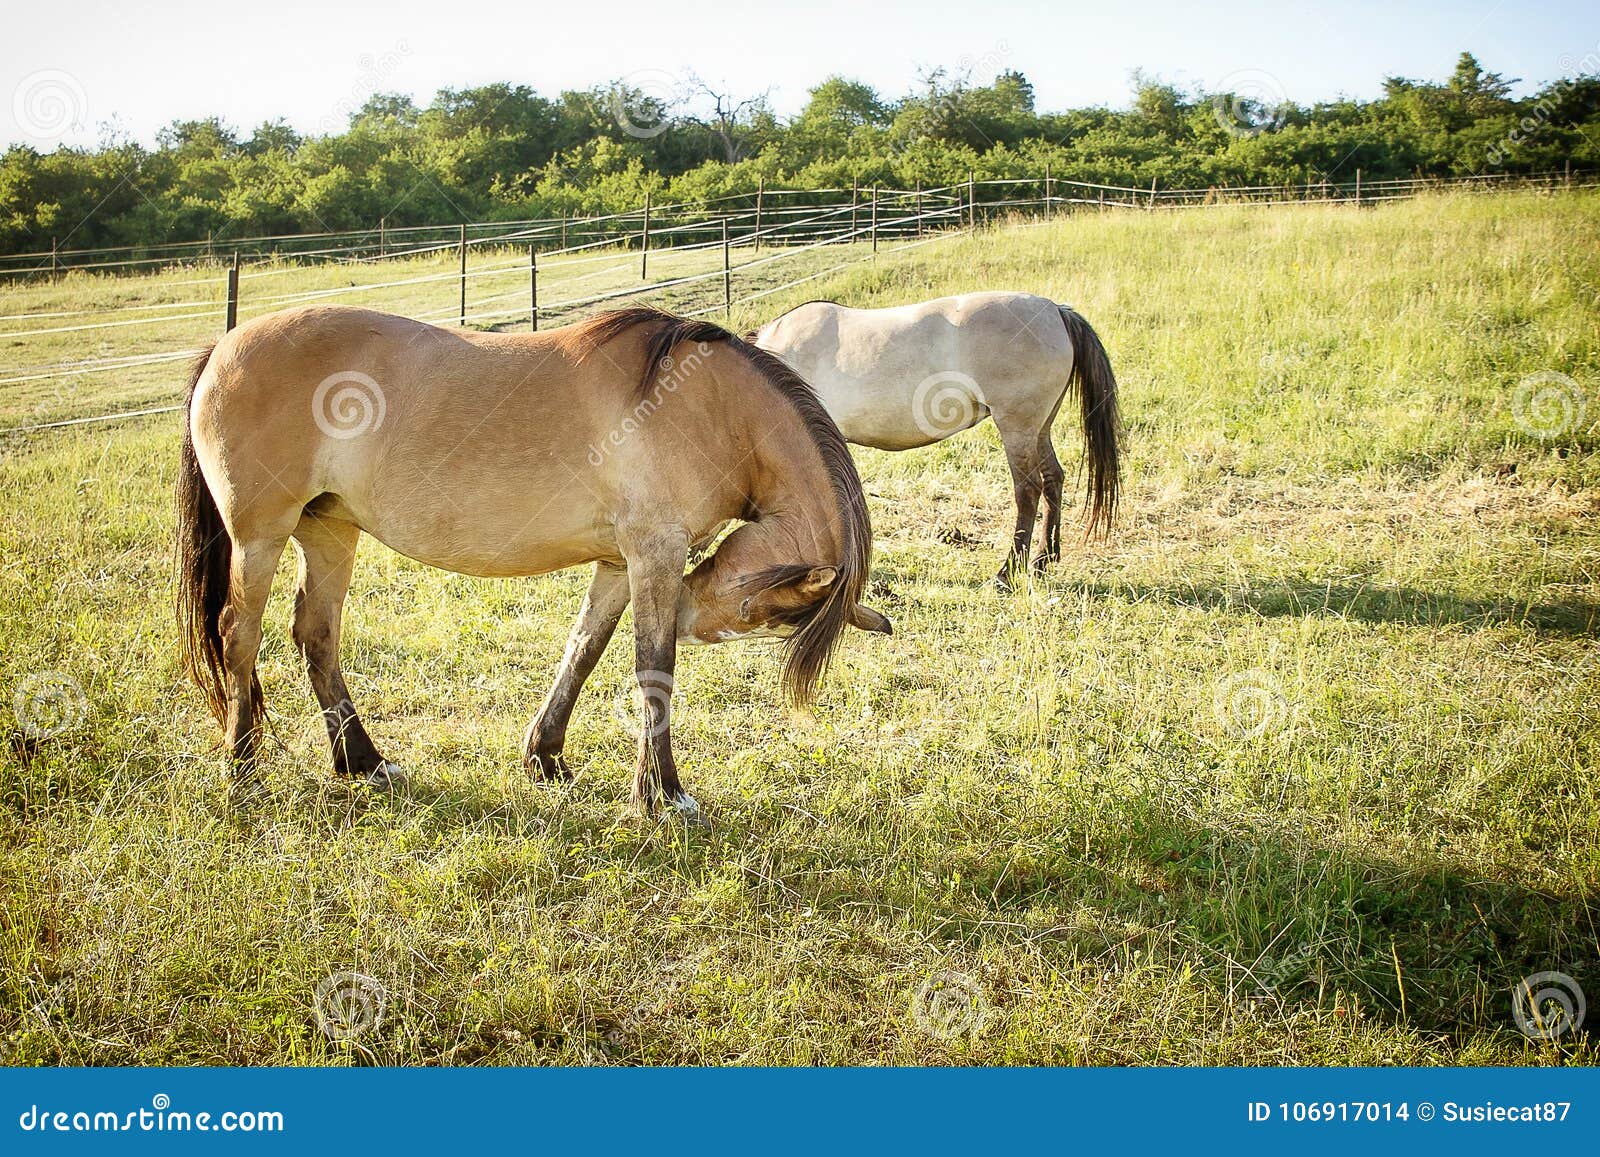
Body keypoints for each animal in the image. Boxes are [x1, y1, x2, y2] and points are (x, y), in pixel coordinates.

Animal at [184, 302, 902, 819]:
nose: (691, 616)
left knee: (316, 635)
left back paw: (364, 761)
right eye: (759, 609)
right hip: (262, 537)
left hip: (330, 532)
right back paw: (242, 769)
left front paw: (546, 757)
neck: (709, 405)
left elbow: (583, 649)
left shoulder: (619, 563)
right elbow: (654, 667)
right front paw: (663, 795)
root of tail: (224, 347)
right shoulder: (654, 554)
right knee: (238, 635)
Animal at [752, 289, 1120, 588]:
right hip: (1039, 427)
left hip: (1017, 427)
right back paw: (1044, 561)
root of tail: (1055, 311)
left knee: (1028, 490)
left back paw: (1006, 574)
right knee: (1053, 478)